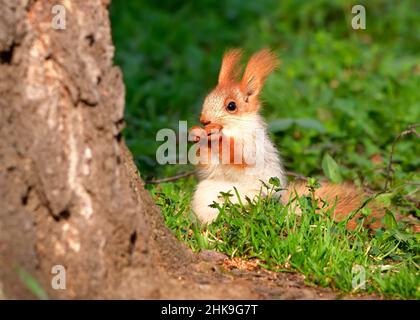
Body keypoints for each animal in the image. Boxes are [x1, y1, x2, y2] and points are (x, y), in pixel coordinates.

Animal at [190, 48, 416, 231]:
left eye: (231, 106)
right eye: (207, 98)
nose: (203, 120)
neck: (234, 128)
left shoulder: (254, 145)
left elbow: (240, 160)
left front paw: (216, 137)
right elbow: (208, 166)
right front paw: (197, 135)